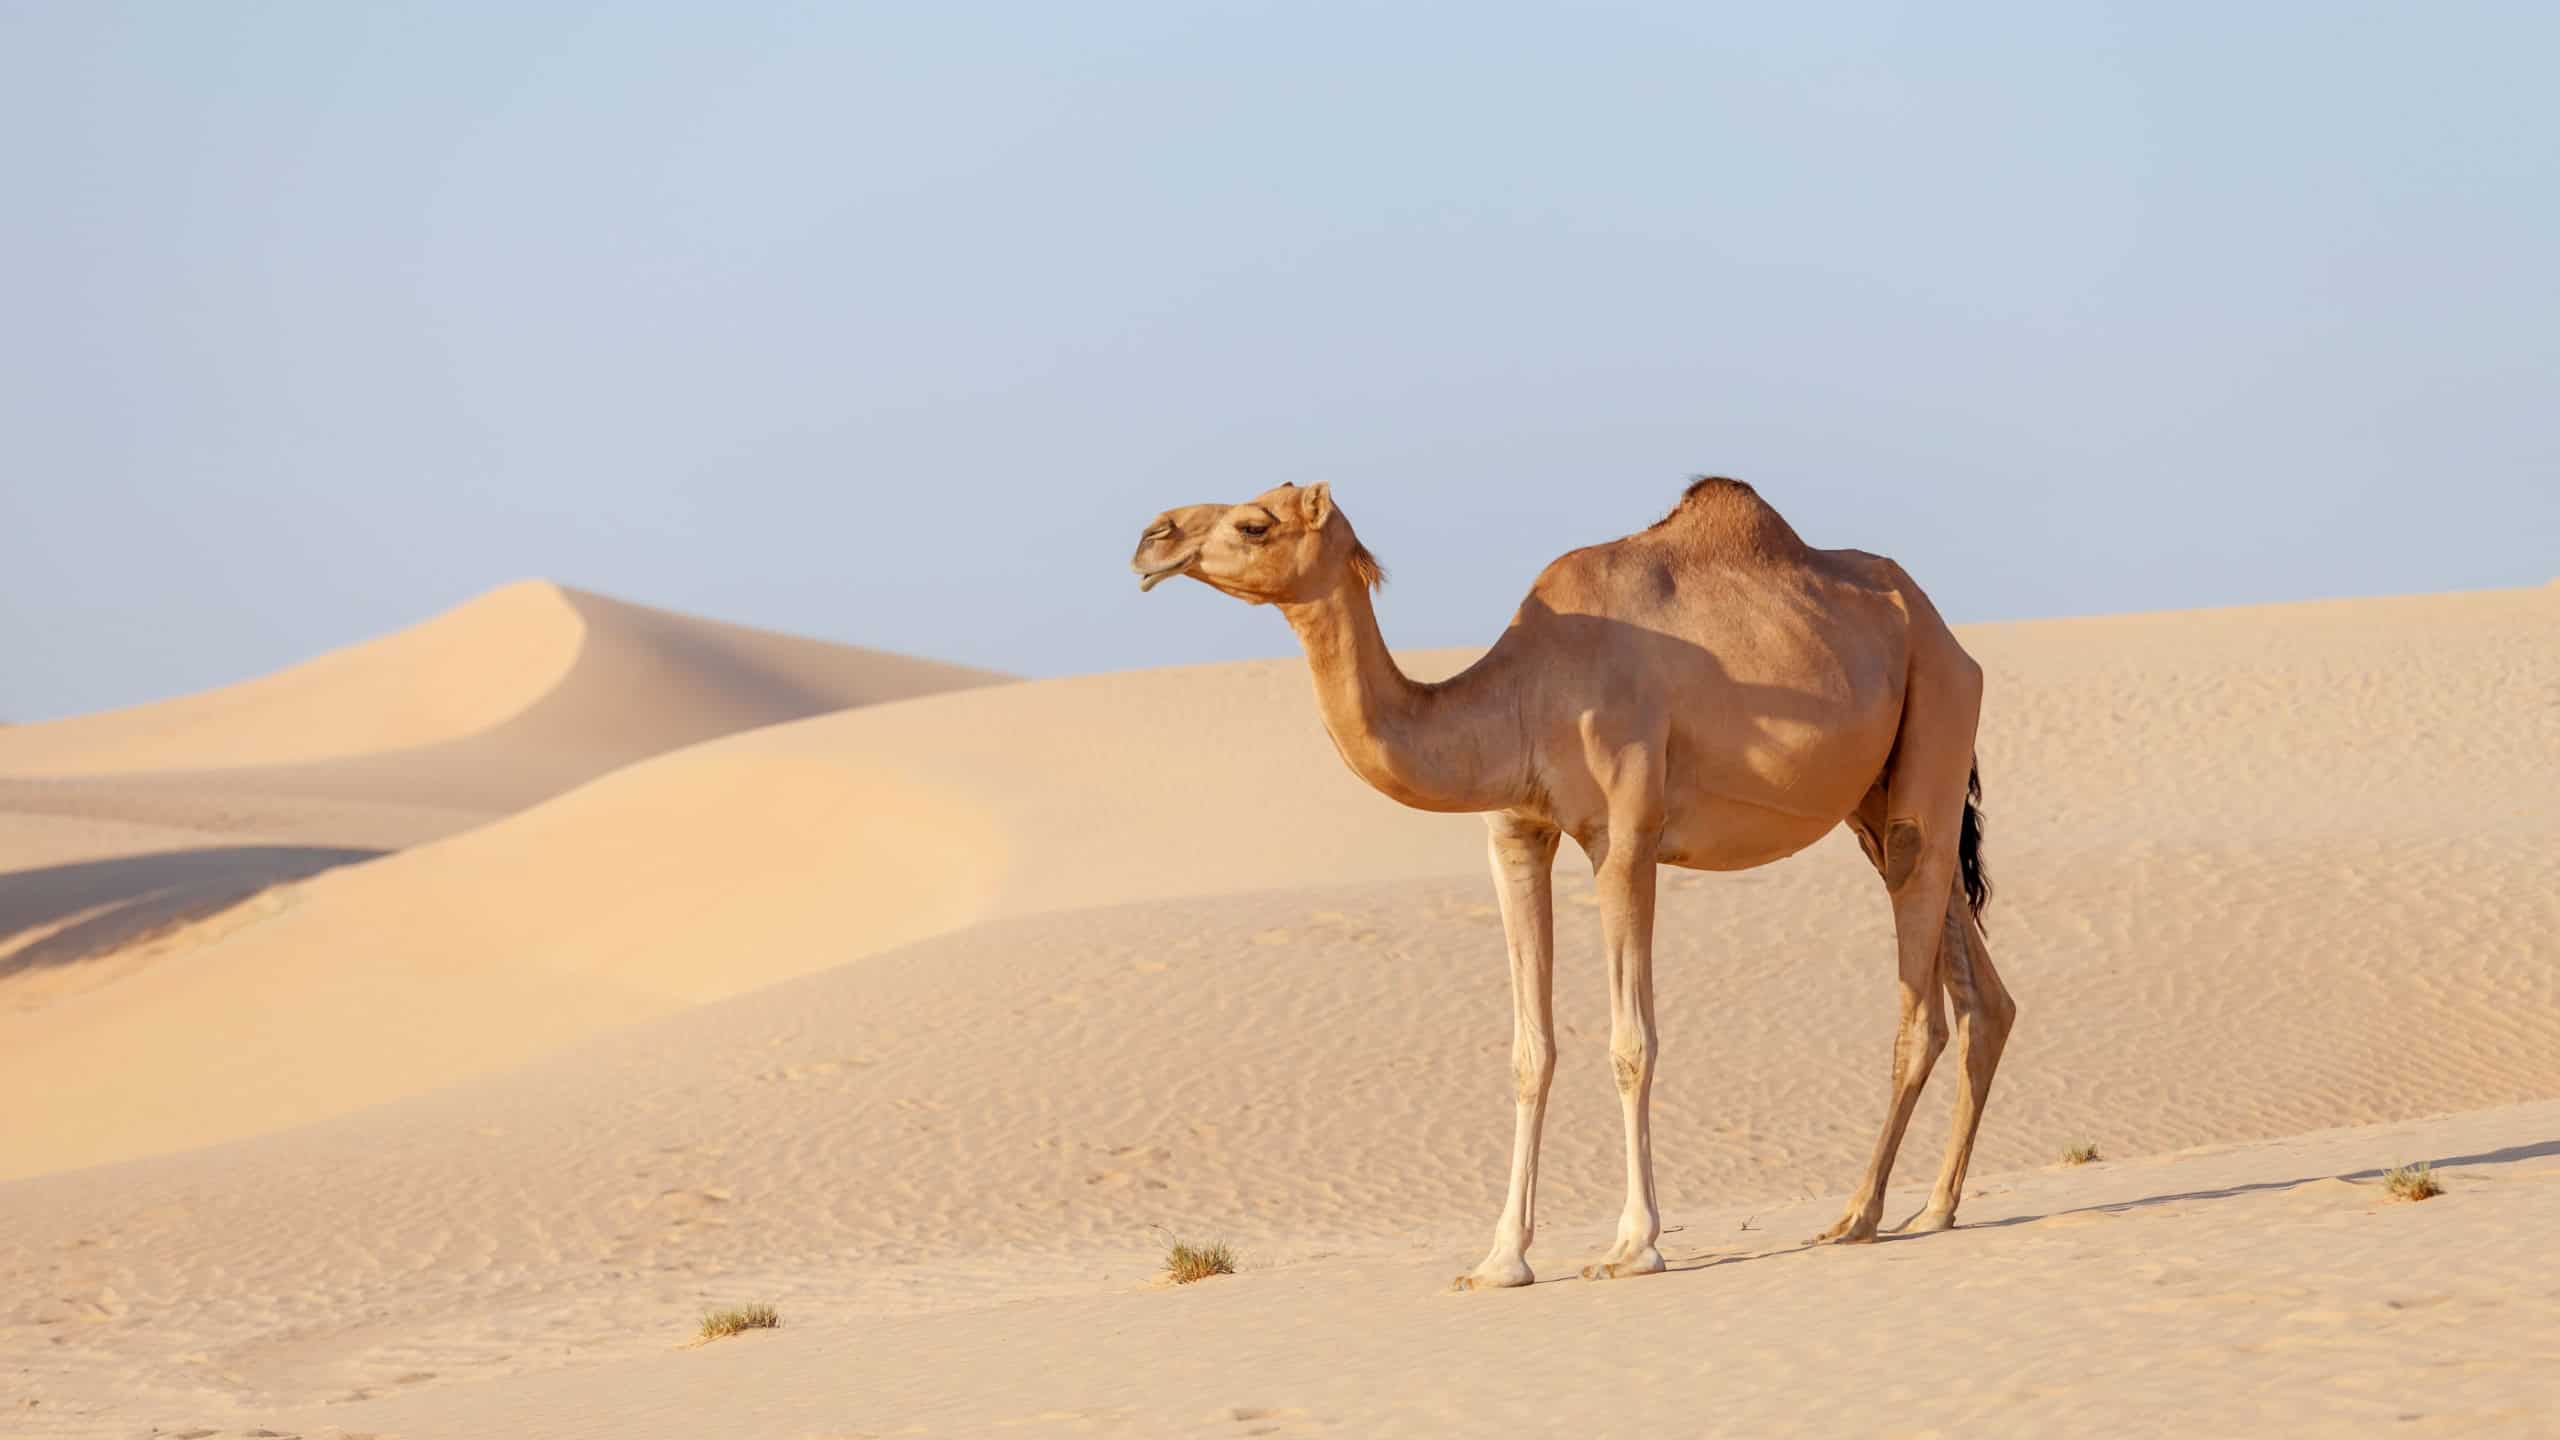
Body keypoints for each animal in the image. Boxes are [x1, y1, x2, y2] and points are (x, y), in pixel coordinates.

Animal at [1128, 477, 2014, 1290]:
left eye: (1254, 522)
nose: (1151, 537)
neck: (1524, 695)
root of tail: (1948, 634)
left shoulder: (1626, 839)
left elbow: (1631, 1043)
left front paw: (1633, 1246)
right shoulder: (1515, 834)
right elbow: (1530, 1048)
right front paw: (1499, 1259)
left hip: (1936, 711)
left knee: (1920, 994)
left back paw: (1858, 1216)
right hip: (1875, 797)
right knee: (1979, 989)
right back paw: (1933, 1208)